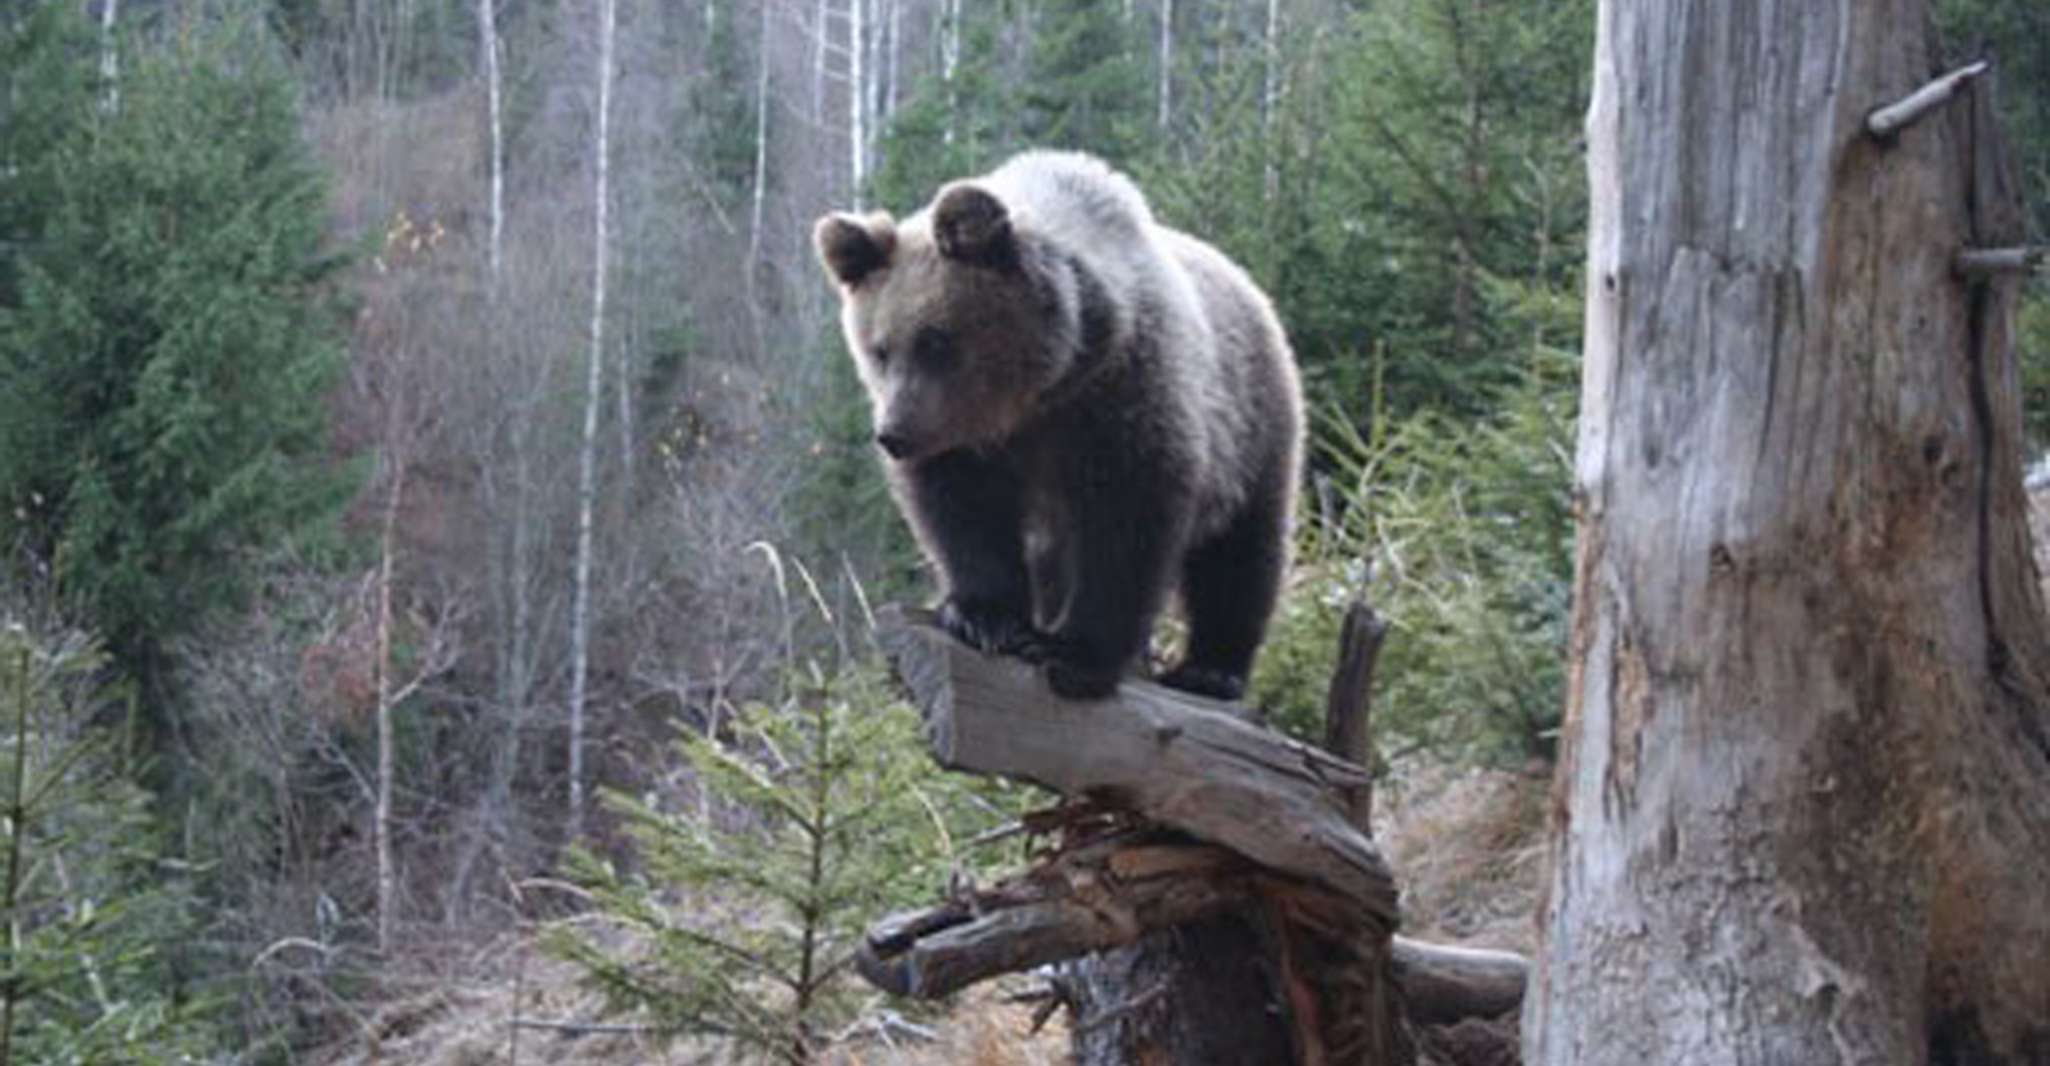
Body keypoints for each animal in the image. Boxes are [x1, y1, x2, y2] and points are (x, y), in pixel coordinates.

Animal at [813, 150, 1303, 702]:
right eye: (879, 349)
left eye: (935, 341)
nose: (894, 434)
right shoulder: (968, 443)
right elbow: (962, 511)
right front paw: (985, 617)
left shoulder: (1121, 397)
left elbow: (1126, 522)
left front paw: (1071, 652)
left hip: (1253, 424)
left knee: (1243, 549)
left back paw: (1211, 668)